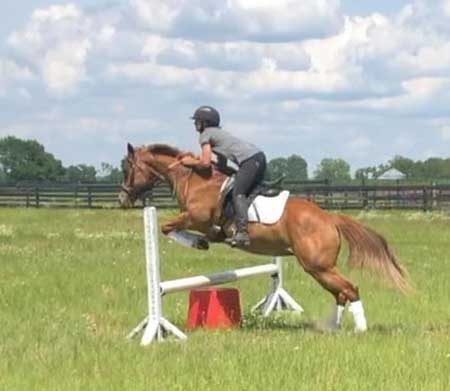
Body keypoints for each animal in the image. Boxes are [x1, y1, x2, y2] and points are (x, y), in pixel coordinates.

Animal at [118, 142, 412, 332]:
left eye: (128, 168)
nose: (122, 199)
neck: (196, 180)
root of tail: (330, 219)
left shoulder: (196, 219)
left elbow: (167, 227)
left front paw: (198, 243)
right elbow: (169, 228)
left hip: (317, 266)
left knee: (350, 289)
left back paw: (359, 329)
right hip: (319, 268)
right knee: (341, 293)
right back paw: (333, 327)